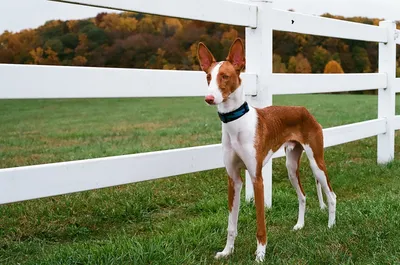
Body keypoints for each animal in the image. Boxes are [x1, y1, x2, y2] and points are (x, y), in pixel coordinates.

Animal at [195, 37, 336, 262]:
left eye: (225, 76)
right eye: (208, 77)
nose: (209, 98)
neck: (236, 123)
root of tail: (304, 110)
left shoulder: (257, 178)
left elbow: (260, 223)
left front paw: (260, 254)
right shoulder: (233, 180)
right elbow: (231, 224)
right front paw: (227, 251)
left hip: (316, 162)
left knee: (331, 195)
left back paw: (331, 226)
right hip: (291, 166)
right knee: (303, 196)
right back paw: (299, 225)